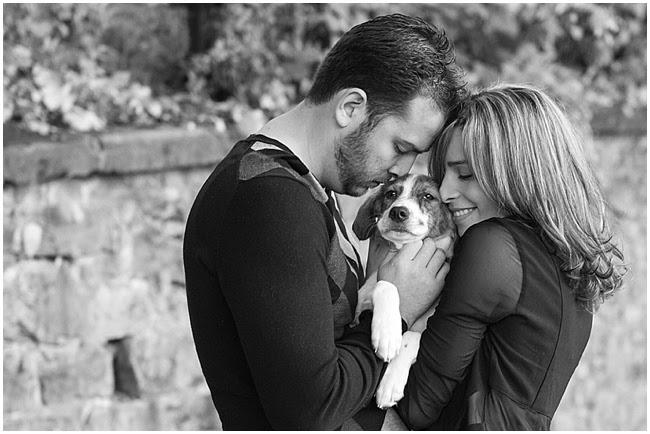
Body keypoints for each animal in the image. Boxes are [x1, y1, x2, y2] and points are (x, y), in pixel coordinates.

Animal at [351, 173, 456, 409]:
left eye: (428, 196)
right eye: (391, 194)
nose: (398, 212)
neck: (403, 250)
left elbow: (412, 336)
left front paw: (390, 383)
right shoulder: (357, 311)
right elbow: (386, 285)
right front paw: (388, 333)